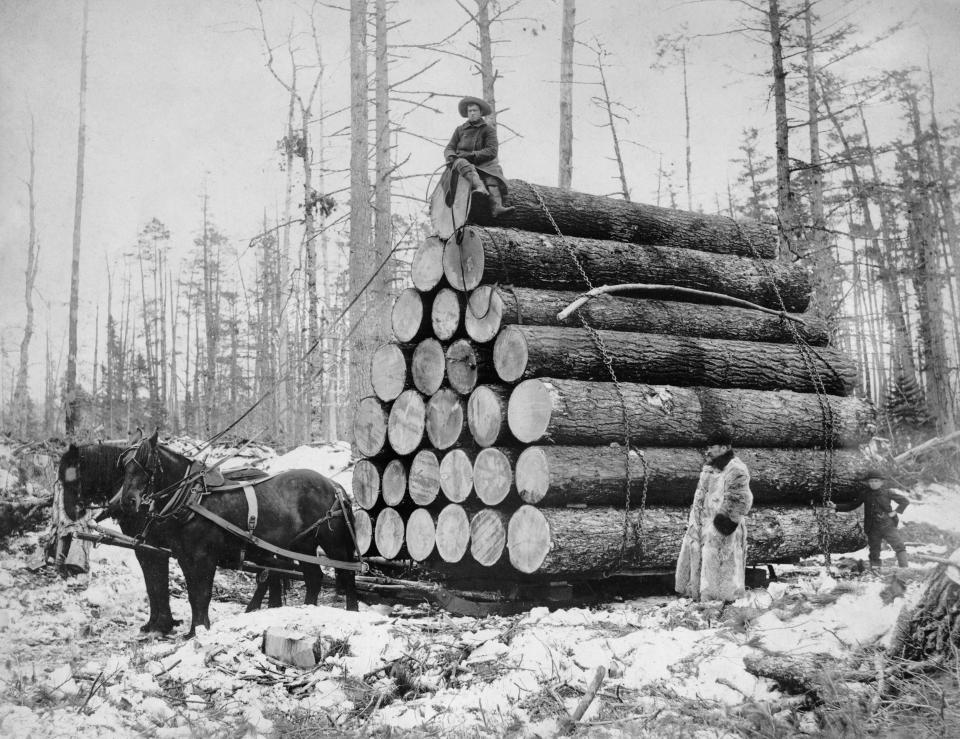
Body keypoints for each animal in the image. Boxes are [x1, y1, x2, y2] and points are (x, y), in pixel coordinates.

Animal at [119, 434, 358, 636]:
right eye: (124, 465)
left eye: (147, 463)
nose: (128, 501)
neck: (192, 498)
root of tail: (334, 485)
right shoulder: (185, 557)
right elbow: (193, 594)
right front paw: (194, 630)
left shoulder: (204, 557)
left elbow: (203, 593)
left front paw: (200, 630)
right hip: (302, 545)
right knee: (314, 577)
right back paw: (308, 611)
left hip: (333, 543)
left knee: (347, 573)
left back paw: (353, 611)